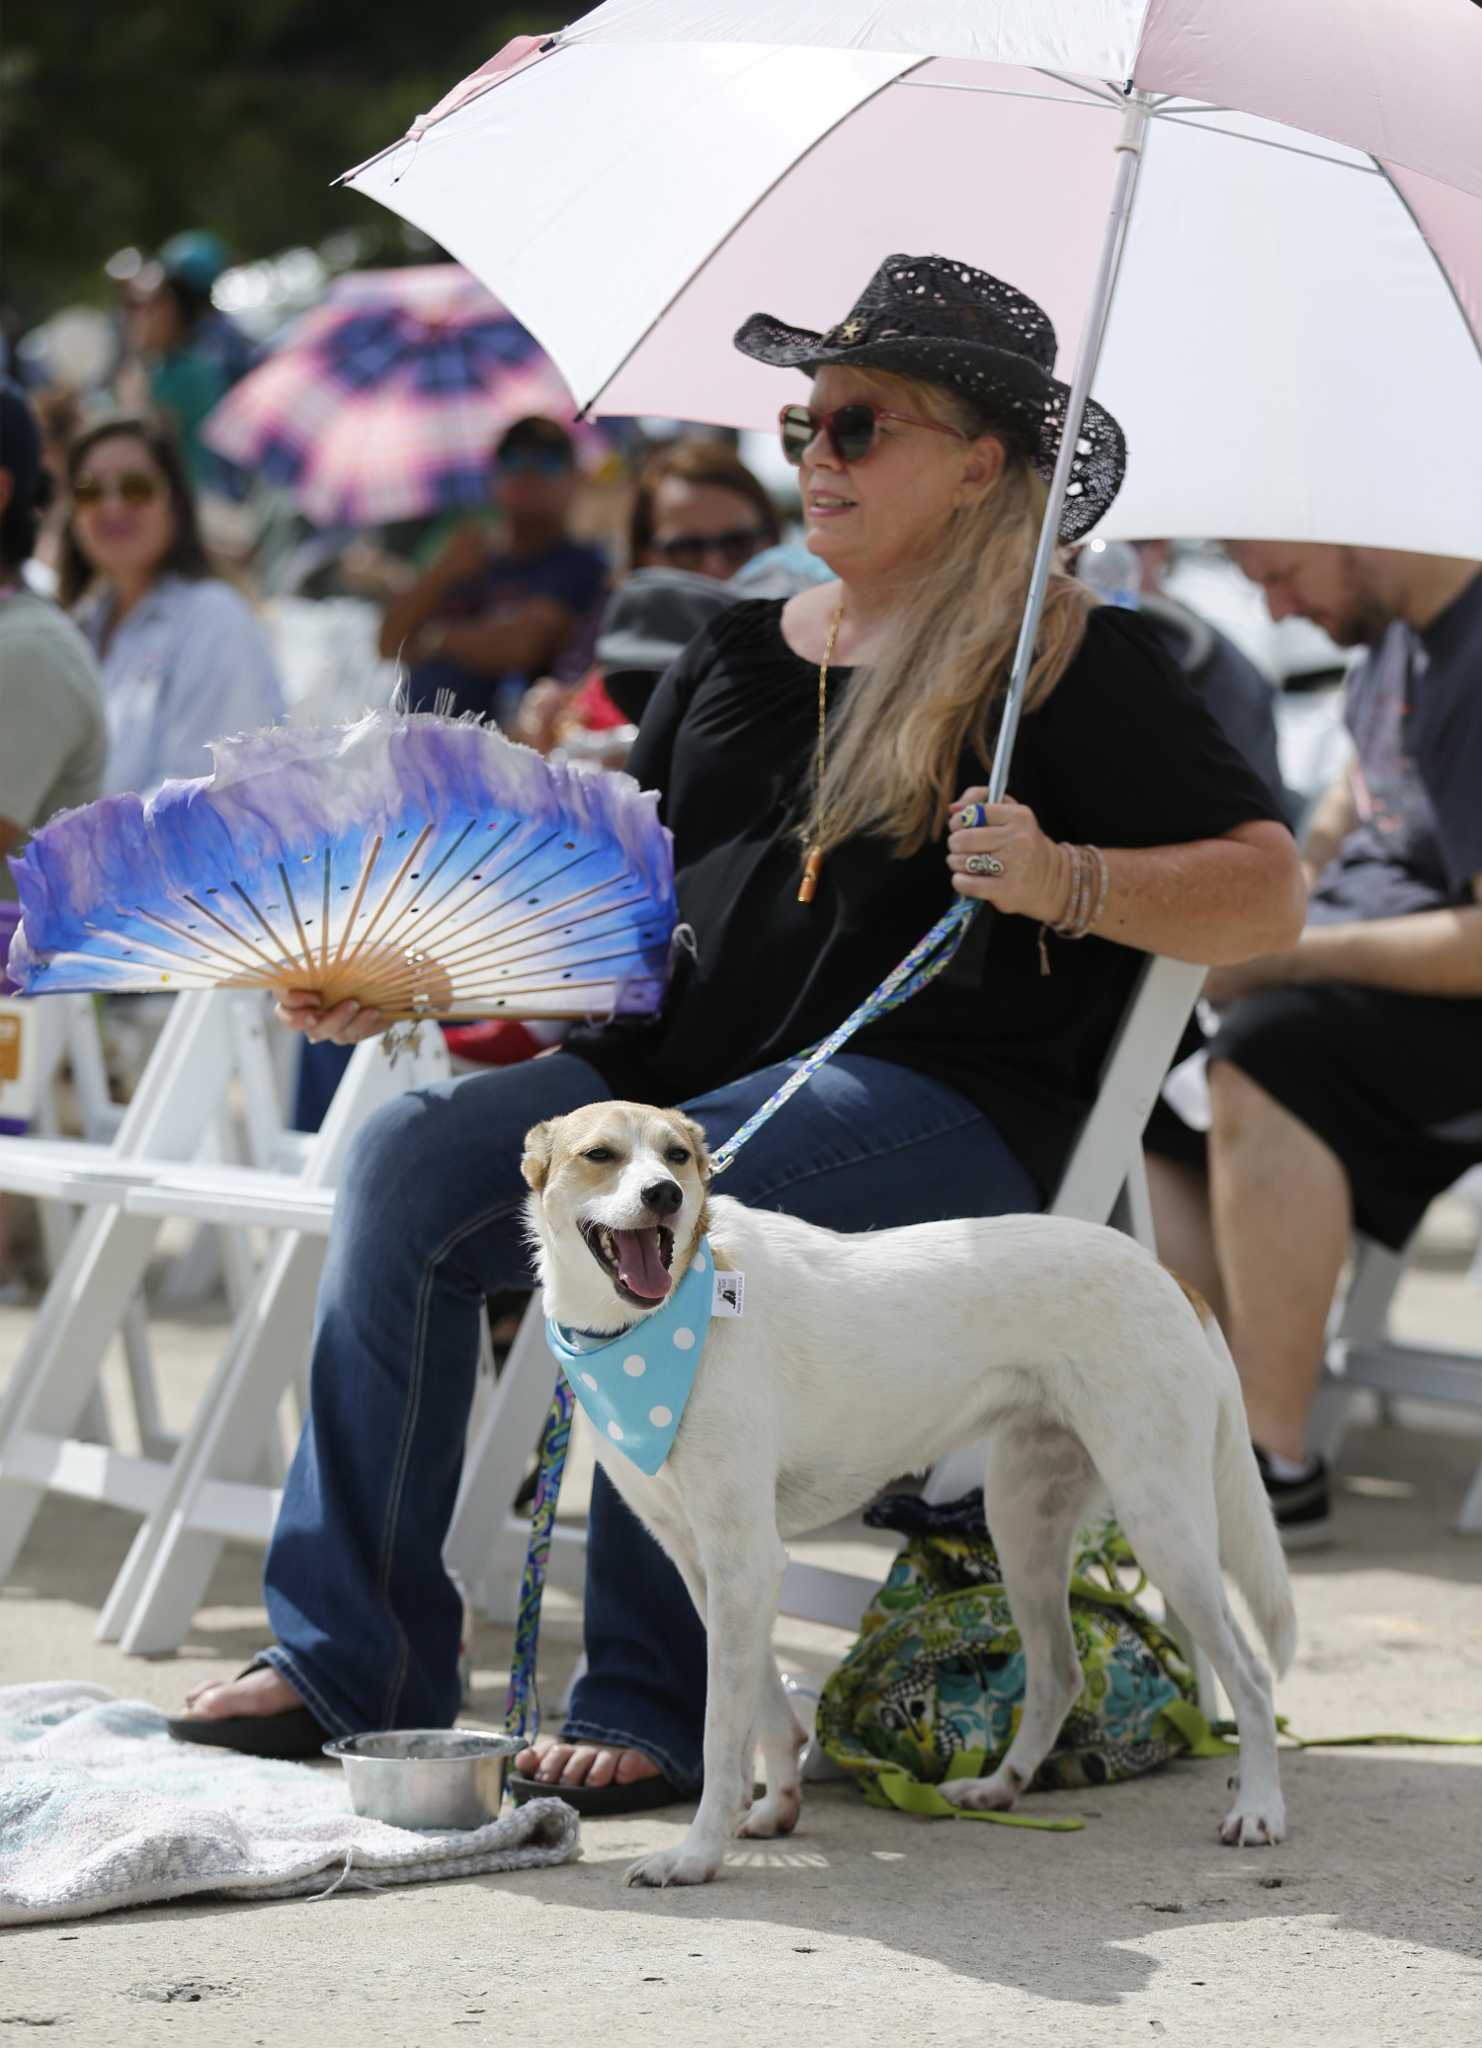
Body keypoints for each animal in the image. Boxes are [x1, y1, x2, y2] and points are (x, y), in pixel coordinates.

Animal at [524, 1105, 1293, 1884]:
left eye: (677, 1156)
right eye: (600, 1155)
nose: (665, 1196)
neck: (657, 1332)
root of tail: (1167, 1273)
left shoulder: (745, 1561)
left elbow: (720, 1729)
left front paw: (698, 1852)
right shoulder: (707, 1566)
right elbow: (763, 1704)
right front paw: (774, 1805)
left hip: (1164, 1525)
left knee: (1253, 1678)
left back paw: (1259, 1808)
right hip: (1023, 1526)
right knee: (1058, 1674)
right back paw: (1001, 1786)